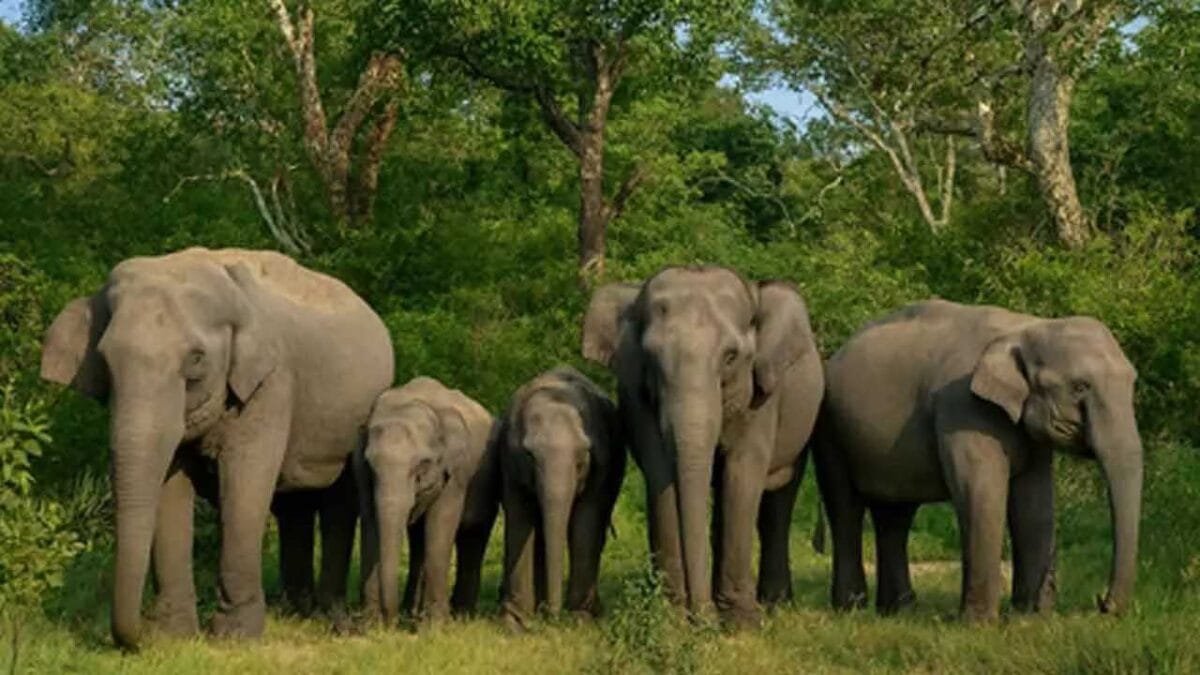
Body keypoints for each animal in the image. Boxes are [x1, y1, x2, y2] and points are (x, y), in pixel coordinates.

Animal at [40, 247, 394, 649]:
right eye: (104, 359)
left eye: (196, 359)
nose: (139, 637)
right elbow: (170, 487)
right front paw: (174, 635)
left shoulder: (271, 383)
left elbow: (245, 482)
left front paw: (236, 637)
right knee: (294, 505)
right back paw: (293, 610)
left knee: (337, 502)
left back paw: (329, 617)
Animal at [354, 377, 500, 625]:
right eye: (371, 466)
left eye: (421, 466)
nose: (390, 621)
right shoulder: (360, 471)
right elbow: (370, 522)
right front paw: (370, 625)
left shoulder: (456, 473)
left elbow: (441, 524)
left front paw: (435, 626)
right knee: (418, 542)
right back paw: (412, 612)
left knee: (474, 537)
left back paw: (461, 616)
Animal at [495, 366, 625, 629]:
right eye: (530, 456)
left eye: (580, 461)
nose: (553, 620)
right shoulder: (509, 461)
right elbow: (519, 518)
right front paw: (514, 623)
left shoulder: (602, 462)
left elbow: (587, 519)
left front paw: (580, 620)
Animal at [582, 266, 825, 627]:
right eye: (652, 358)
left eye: (731, 357)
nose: (701, 617)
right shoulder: (635, 396)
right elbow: (660, 474)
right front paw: (671, 617)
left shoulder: (761, 398)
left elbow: (741, 475)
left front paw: (741, 623)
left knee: (777, 502)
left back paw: (775, 605)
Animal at [816, 299, 1143, 621]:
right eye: (1080, 386)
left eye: (1132, 383)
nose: (1102, 603)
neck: (1024, 327)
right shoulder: (963, 406)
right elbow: (981, 495)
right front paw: (979, 624)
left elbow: (1035, 503)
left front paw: (1030, 618)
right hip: (831, 430)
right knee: (845, 507)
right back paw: (851, 609)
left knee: (895, 515)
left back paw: (898, 611)